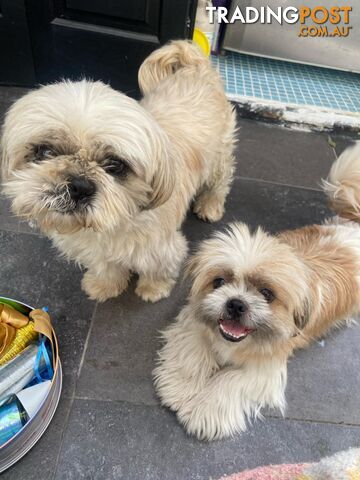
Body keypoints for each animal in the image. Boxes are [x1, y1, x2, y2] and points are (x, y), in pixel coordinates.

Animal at [0, 42, 236, 304]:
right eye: (45, 151)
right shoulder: (98, 253)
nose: (79, 185)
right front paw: (104, 286)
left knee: (220, 183)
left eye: (115, 165)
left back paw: (210, 206)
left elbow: (157, 270)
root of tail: (195, 65)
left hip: (220, 158)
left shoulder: (161, 249)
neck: (113, 224)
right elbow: (107, 268)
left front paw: (153, 289)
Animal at [154, 143, 360, 442]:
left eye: (267, 294)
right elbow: (193, 351)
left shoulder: (264, 370)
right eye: (219, 282)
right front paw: (180, 388)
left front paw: (203, 410)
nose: (236, 303)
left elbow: (229, 381)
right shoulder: (193, 322)